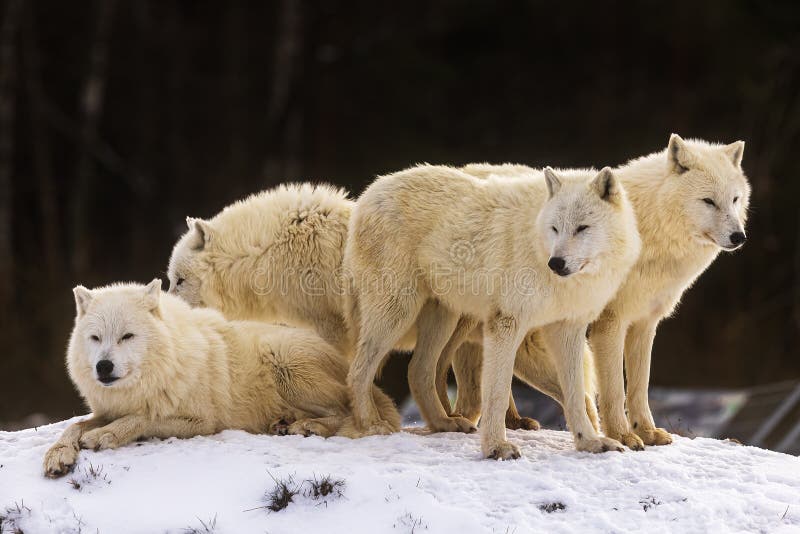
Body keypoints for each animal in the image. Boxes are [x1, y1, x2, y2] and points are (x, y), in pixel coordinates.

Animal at [42, 280, 398, 482]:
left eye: (127, 336)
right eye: (95, 338)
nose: (103, 367)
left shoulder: (203, 421)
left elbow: (144, 418)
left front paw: (105, 436)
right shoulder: (108, 409)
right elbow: (73, 426)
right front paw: (58, 456)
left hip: (284, 363)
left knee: (345, 410)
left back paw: (307, 426)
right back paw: (284, 423)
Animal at [346, 164, 640, 460]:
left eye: (582, 228)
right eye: (555, 228)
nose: (556, 262)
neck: (537, 243)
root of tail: (370, 192)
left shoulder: (567, 328)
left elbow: (577, 395)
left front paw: (590, 442)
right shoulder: (506, 322)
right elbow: (497, 393)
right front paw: (497, 447)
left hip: (444, 318)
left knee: (417, 371)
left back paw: (445, 423)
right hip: (397, 313)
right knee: (358, 370)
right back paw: (371, 425)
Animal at [456, 135, 752, 452]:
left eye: (735, 199)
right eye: (708, 201)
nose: (739, 237)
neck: (645, 231)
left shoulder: (644, 323)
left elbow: (639, 387)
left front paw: (647, 432)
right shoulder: (610, 322)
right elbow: (614, 389)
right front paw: (622, 436)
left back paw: (511, 421)